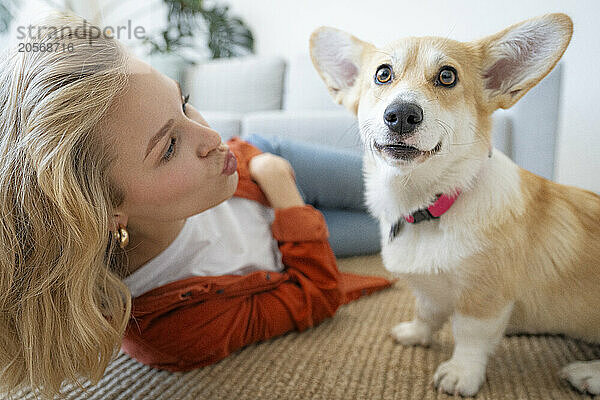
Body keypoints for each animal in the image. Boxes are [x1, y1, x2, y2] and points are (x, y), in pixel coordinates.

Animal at [310, 12, 600, 396]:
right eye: (383, 74)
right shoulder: (430, 293)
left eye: (447, 76)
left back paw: (588, 373)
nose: (401, 115)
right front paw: (415, 334)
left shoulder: (484, 296)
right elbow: (427, 311)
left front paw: (461, 374)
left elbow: (470, 335)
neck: (427, 206)